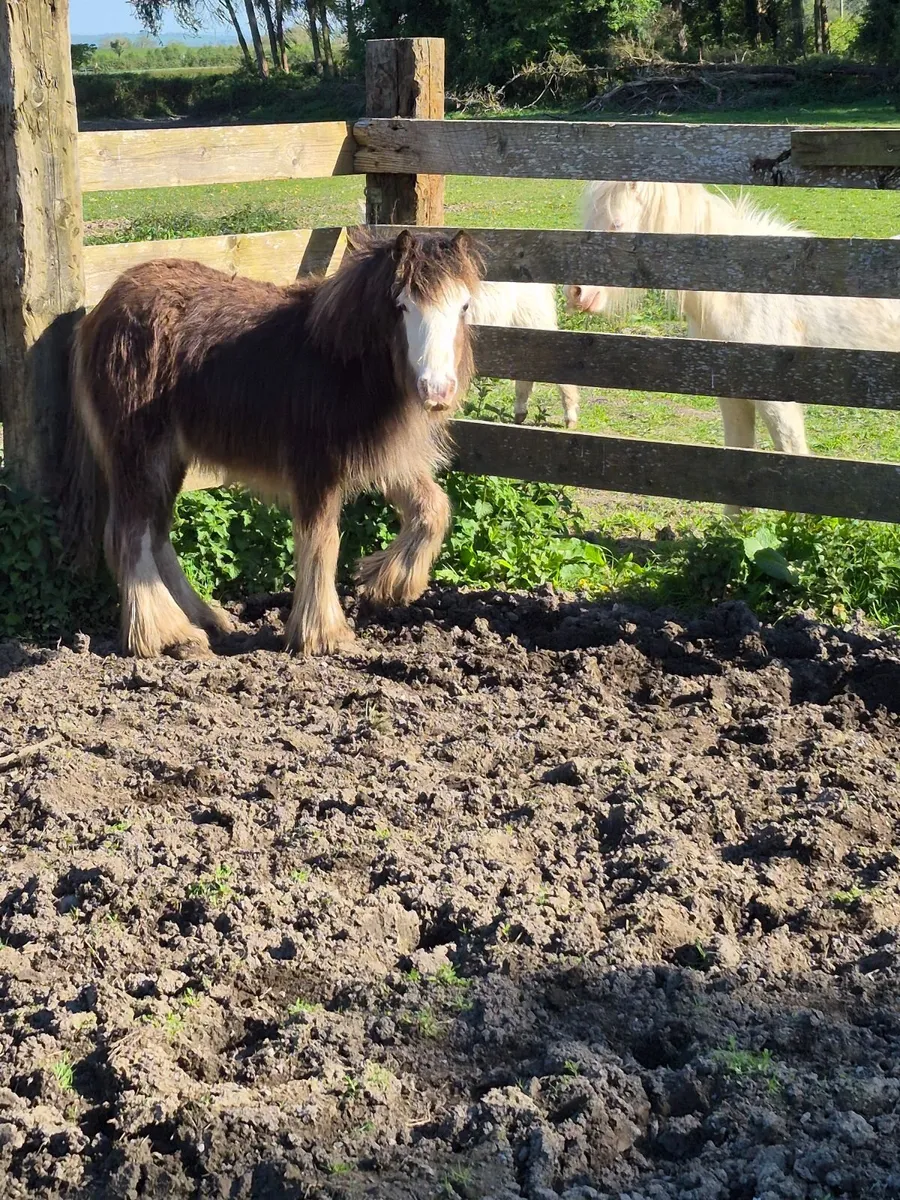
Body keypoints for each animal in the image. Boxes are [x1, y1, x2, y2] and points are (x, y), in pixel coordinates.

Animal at [64, 228, 483, 659]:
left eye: (464, 305)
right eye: (402, 305)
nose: (437, 391)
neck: (341, 359)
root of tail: (100, 311)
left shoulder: (380, 454)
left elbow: (432, 508)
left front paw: (389, 583)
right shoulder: (315, 466)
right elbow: (321, 542)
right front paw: (322, 634)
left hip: (169, 456)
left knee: (156, 532)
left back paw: (204, 618)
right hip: (139, 449)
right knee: (131, 535)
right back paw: (166, 634)